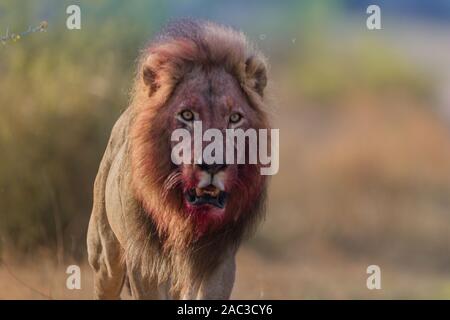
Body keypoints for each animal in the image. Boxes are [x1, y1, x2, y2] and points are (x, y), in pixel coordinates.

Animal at [87, 18, 270, 300]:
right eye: (187, 115)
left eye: (235, 118)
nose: (213, 164)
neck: (184, 217)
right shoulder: (144, 263)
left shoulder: (218, 259)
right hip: (105, 257)